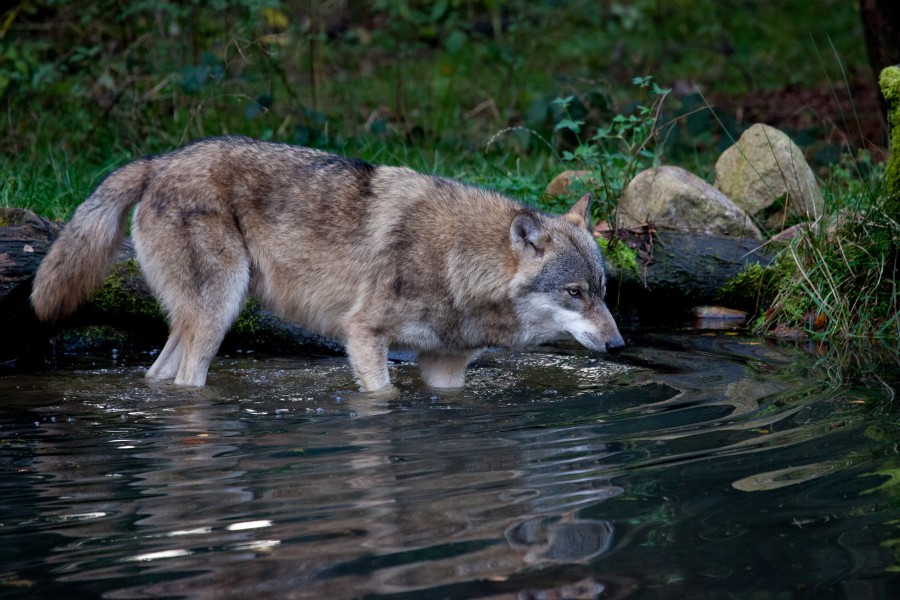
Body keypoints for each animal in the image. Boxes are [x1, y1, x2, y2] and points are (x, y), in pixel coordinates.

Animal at [29, 135, 624, 390]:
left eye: (602, 290)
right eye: (575, 293)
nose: (620, 344)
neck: (460, 263)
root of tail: (159, 161)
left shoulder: (445, 366)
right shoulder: (362, 335)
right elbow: (381, 395)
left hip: (203, 316)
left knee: (157, 375)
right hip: (219, 314)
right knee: (185, 381)